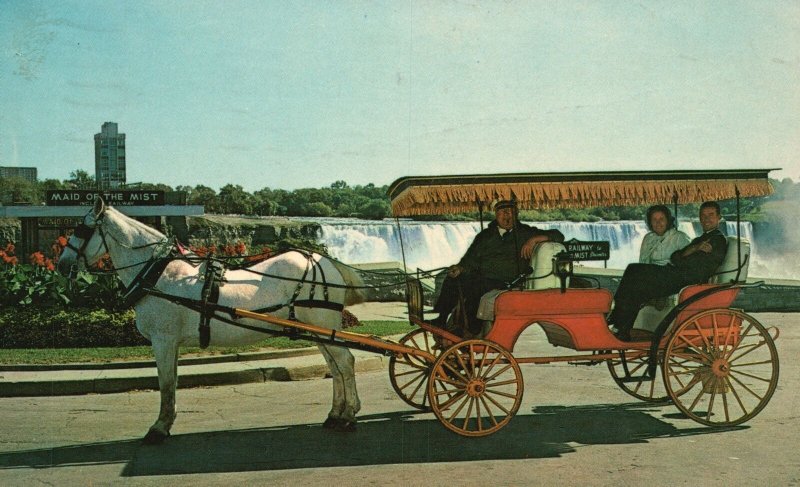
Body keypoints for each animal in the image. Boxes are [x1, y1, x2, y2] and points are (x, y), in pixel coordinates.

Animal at [57, 199, 366, 446]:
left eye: (81, 229)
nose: (61, 265)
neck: (159, 275)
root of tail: (323, 261)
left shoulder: (163, 340)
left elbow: (166, 383)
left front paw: (159, 428)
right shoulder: (170, 343)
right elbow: (171, 381)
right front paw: (166, 423)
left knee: (345, 362)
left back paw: (349, 415)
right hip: (318, 331)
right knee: (335, 367)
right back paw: (335, 413)